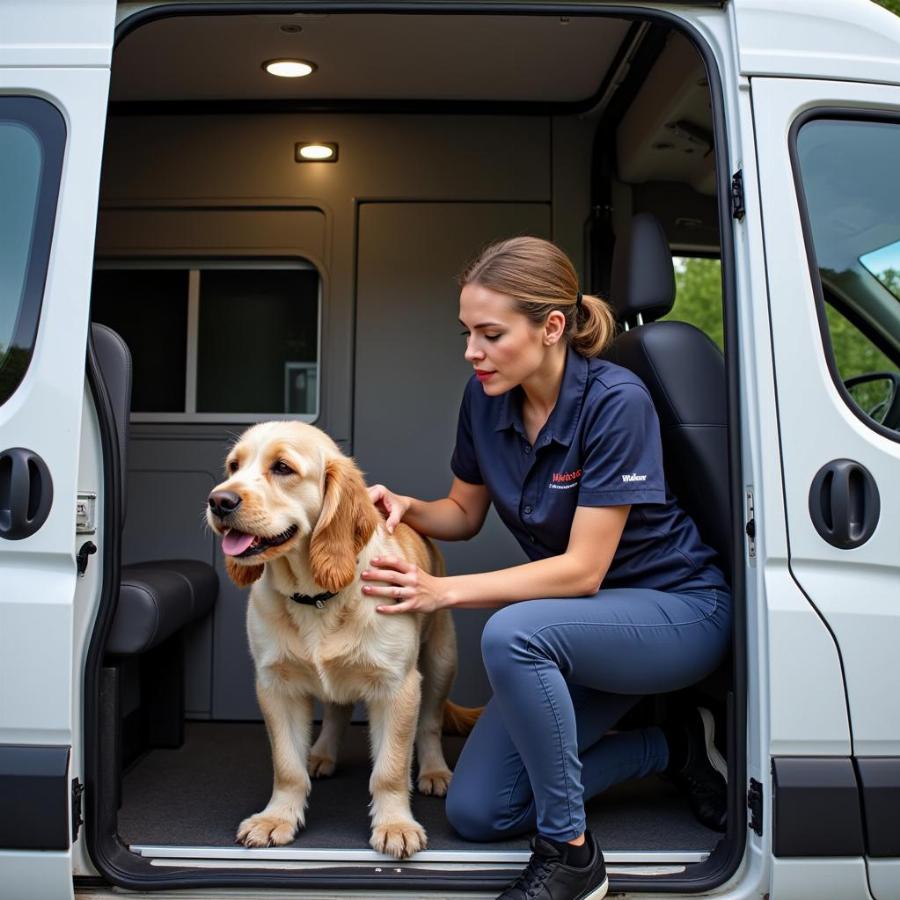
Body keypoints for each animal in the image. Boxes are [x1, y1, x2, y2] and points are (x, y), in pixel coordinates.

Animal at [204, 422, 472, 856]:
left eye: (282, 468)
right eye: (233, 466)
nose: (218, 501)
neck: (316, 596)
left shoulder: (398, 687)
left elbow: (391, 769)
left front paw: (395, 824)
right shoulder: (275, 685)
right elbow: (287, 766)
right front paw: (277, 817)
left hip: (441, 660)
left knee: (430, 723)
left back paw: (435, 770)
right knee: (336, 712)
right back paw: (321, 754)